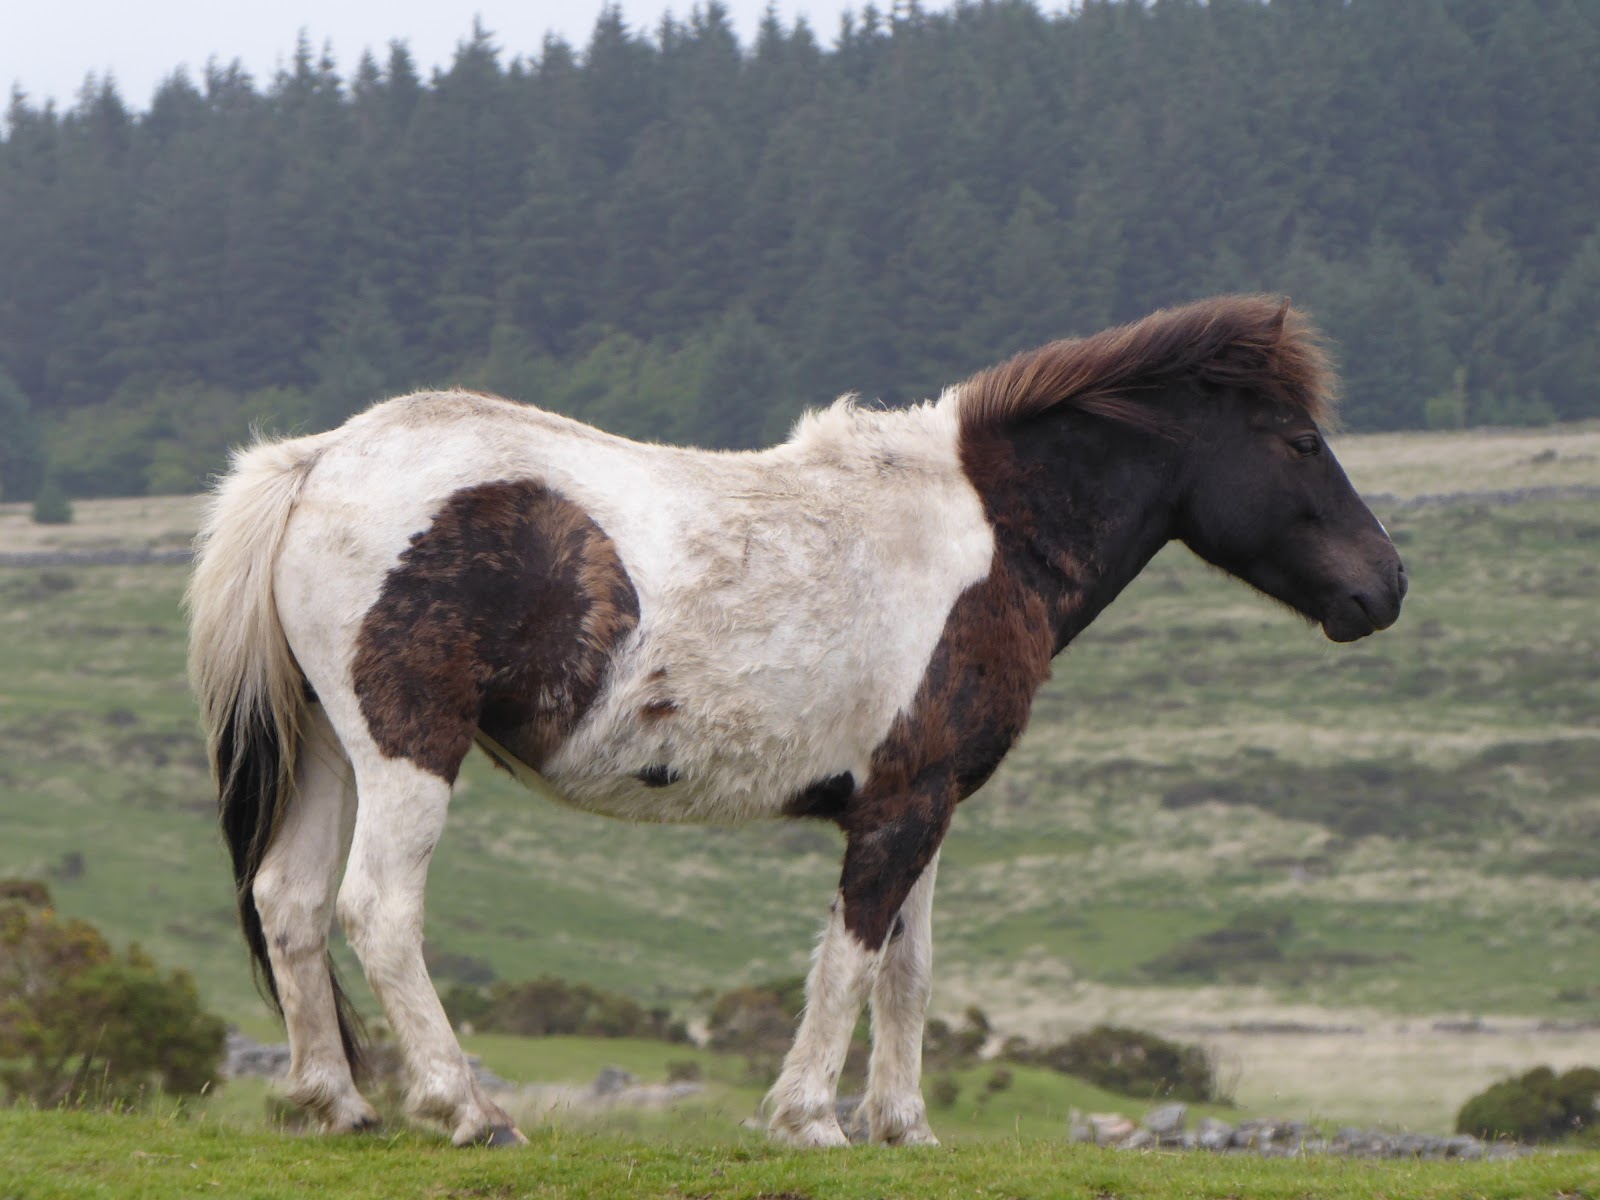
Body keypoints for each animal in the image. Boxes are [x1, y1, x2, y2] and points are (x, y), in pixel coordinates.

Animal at [187, 294, 1405, 1149]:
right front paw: (812, 1117)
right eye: (1299, 441)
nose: (1384, 587)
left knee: (290, 903)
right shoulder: (901, 807)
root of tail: (317, 462)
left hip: (330, 753)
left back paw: (336, 1104)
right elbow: (853, 956)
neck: (984, 532)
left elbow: (910, 966)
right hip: (406, 752)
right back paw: (466, 1109)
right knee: (378, 909)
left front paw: (905, 1127)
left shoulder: (925, 800)